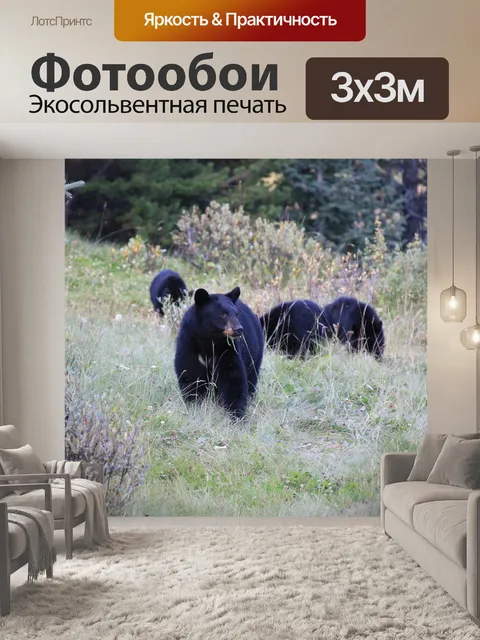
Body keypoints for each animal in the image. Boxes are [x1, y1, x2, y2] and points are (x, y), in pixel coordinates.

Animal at [174, 286, 264, 419]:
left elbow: (233, 377)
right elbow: (191, 375)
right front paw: (195, 406)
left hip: (255, 352)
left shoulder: (228, 349)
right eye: (222, 314)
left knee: (252, 377)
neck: (209, 340)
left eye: (236, 314)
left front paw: (236, 415)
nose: (239, 329)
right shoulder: (189, 345)